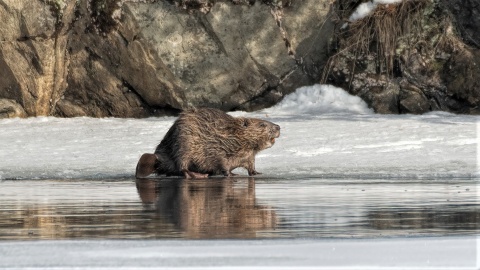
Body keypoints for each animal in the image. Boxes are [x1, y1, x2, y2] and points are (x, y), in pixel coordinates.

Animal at [135, 107, 280, 179]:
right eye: (262, 124)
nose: (278, 127)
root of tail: (158, 158)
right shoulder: (217, 148)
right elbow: (222, 163)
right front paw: (232, 174)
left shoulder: (249, 155)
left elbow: (251, 165)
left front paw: (257, 173)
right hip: (183, 144)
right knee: (182, 167)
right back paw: (199, 175)